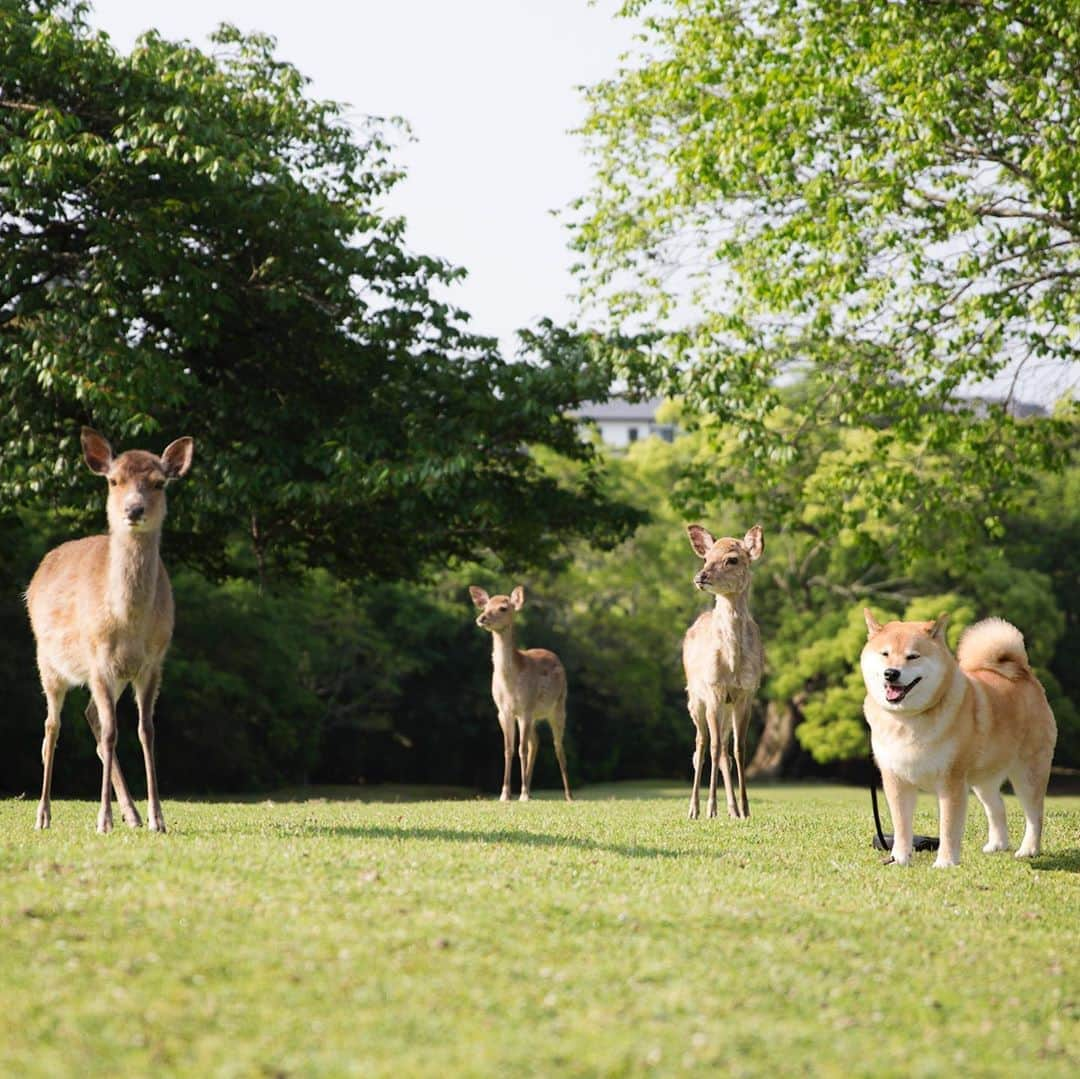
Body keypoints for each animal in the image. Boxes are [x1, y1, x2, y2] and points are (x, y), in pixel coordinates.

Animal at [26, 425, 195, 829]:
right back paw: (43, 815)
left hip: (113, 676)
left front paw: (156, 818)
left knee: (90, 716)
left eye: (159, 483)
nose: (134, 509)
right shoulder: (98, 660)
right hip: (48, 661)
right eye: (114, 480)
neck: (128, 622)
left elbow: (145, 731)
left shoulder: (153, 662)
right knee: (52, 728)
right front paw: (102, 819)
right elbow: (111, 732)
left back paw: (130, 814)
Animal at [470, 591, 574, 803]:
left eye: (503, 608)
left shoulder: (526, 706)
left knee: (557, 746)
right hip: (532, 716)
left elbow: (521, 748)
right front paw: (505, 794)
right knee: (536, 742)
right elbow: (508, 749)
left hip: (558, 706)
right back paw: (530, 791)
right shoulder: (504, 711)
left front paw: (522, 794)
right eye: (485, 606)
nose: (481, 618)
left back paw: (568, 795)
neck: (510, 684)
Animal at [678, 522, 764, 816]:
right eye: (706, 557)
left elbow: (740, 749)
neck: (732, 665)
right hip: (695, 699)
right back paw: (694, 809)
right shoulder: (714, 689)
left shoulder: (746, 693)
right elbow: (713, 748)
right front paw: (710, 809)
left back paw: (734, 810)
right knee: (701, 745)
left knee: (725, 749)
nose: (700, 576)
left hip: (725, 707)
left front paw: (746, 809)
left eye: (733, 559)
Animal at [864, 613, 1058, 872]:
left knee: (1034, 814)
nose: (891, 673)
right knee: (997, 807)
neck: (909, 719)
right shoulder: (896, 780)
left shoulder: (951, 780)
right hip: (983, 779)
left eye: (912, 656)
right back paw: (997, 845)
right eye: (885, 654)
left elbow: (948, 827)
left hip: (1028, 773)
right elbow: (902, 827)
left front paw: (945, 862)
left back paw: (1028, 850)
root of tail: (1025, 674)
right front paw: (899, 859)